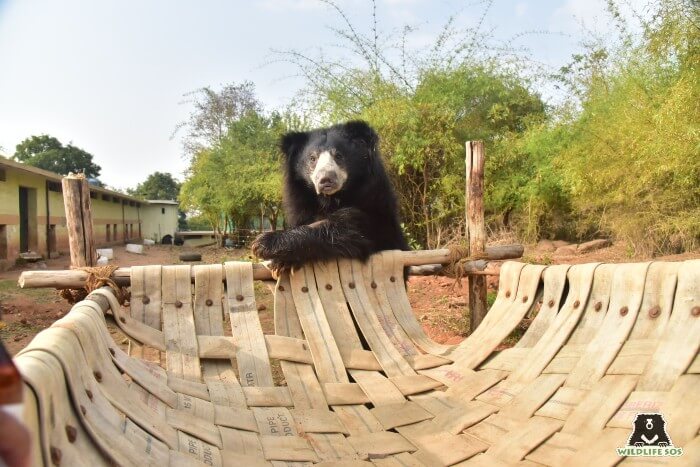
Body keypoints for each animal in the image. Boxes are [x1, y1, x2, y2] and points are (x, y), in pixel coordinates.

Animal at [252, 120, 408, 272]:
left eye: (338, 156)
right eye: (312, 158)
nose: (325, 180)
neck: (330, 199)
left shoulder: (374, 205)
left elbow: (350, 227)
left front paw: (263, 243)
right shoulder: (301, 203)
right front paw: (281, 261)